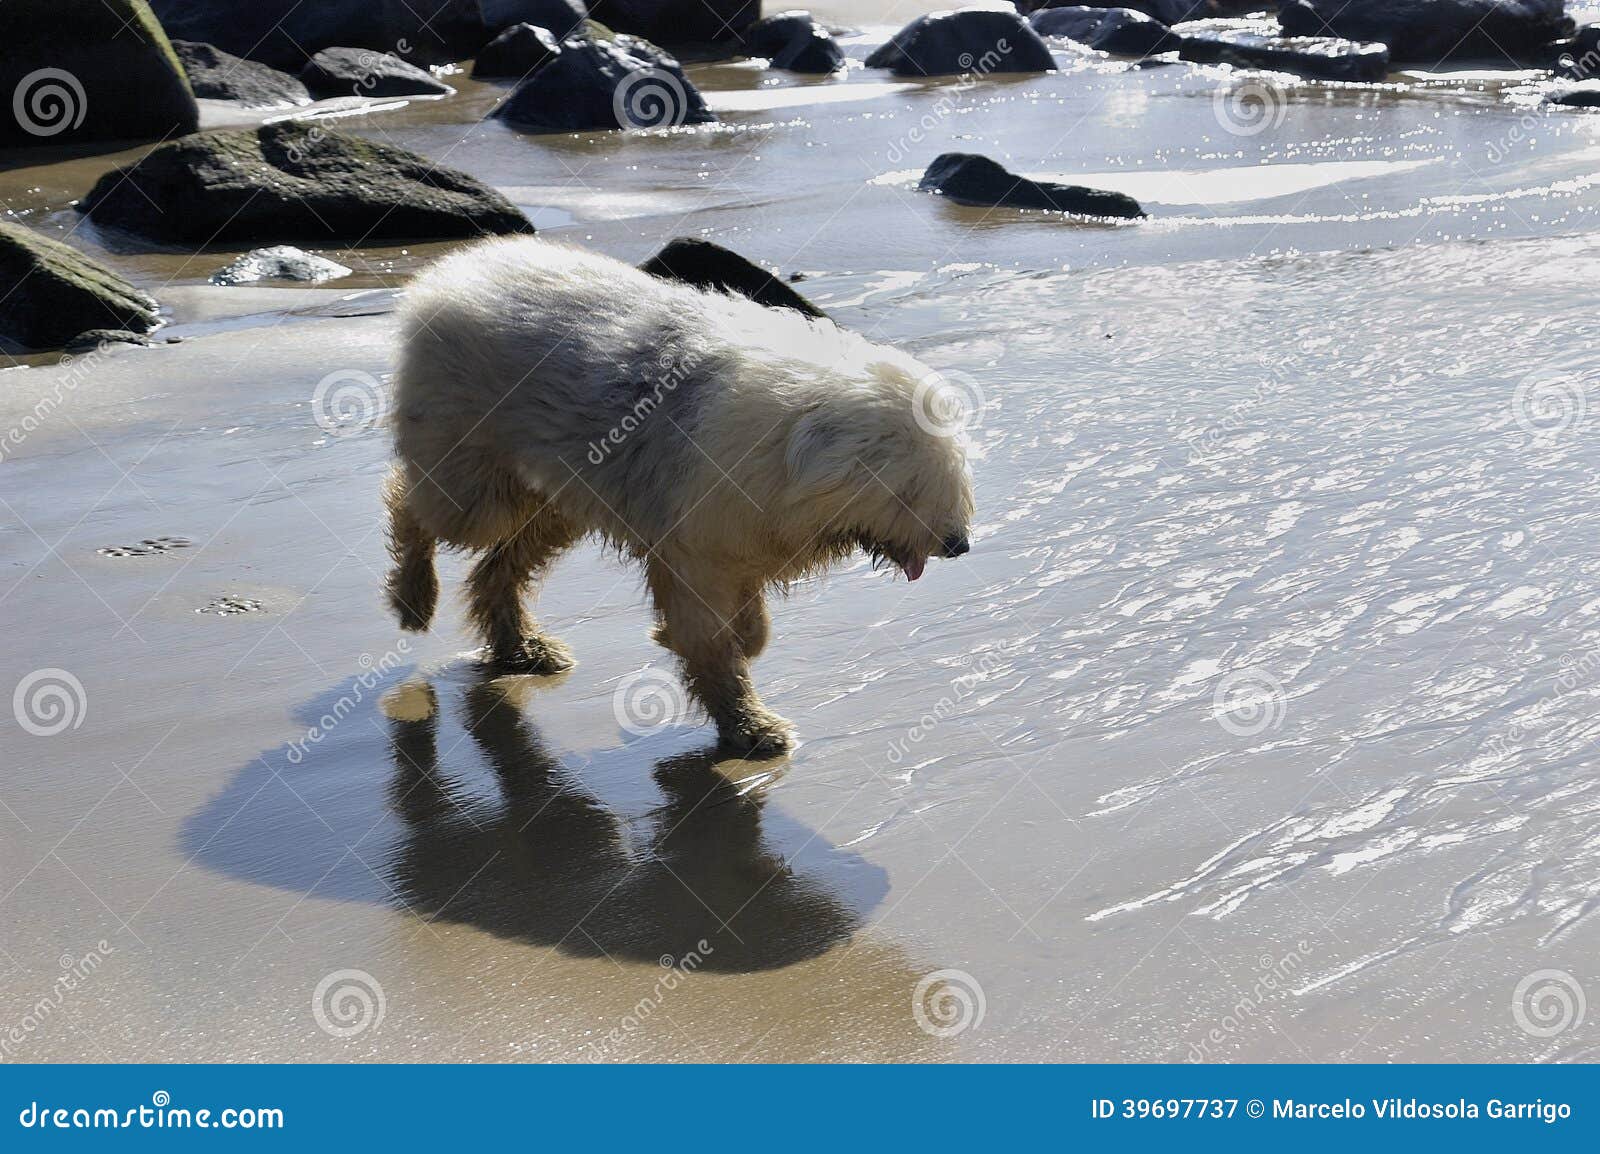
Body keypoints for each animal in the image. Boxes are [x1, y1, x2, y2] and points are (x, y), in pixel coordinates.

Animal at [387, 238, 972, 752]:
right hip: (473, 468)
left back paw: (523, 648)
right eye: (910, 489)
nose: (959, 544)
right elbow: (708, 639)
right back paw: (414, 596)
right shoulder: (699, 539)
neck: (790, 443)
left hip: (563, 488)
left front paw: (732, 644)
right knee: (413, 501)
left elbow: (747, 623)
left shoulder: (738, 531)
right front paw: (751, 728)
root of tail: (458, 266)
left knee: (505, 560)